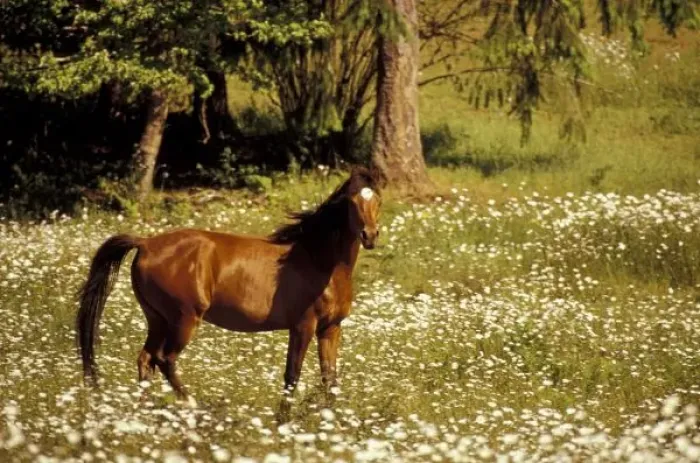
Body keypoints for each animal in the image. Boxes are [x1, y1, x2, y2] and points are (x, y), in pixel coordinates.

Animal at [76, 168, 381, 401]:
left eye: (377, 198)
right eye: (351, 201)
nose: (370, 235)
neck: (319, 261)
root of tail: (145, 243)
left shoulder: (331, 329)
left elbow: (330, 379)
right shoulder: (303, 327)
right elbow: (291, 377)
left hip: (157, 319)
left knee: (145, 360)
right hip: (184, 319)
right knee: (165, 360)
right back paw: (193, 408)